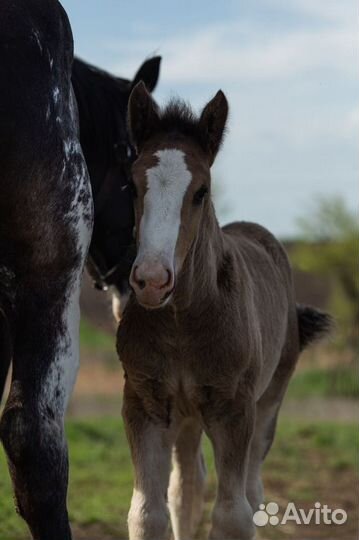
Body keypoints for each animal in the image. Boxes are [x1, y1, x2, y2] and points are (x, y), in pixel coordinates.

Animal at [118, 81, 332, 540]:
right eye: (133, 187)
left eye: (201, 191)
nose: (152, 280)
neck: (181, 323)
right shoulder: (144, 403)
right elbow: (148, 513)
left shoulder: (234, 409)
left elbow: (233, 514)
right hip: (185, 417)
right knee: (185, 488)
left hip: (269, 400)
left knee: (252, 490)